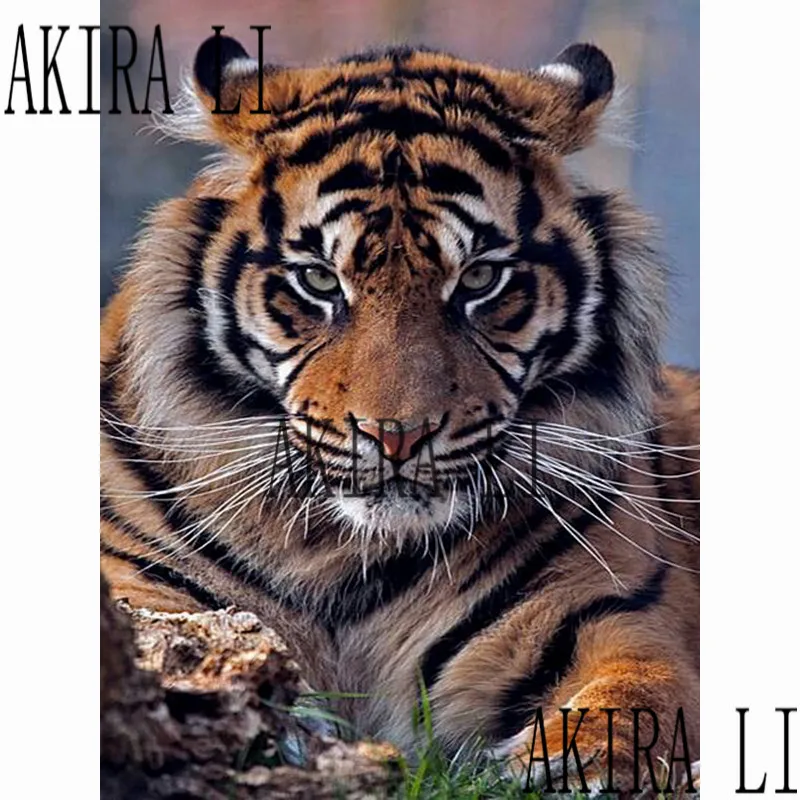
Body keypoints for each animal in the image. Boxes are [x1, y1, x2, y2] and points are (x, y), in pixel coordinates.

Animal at [100, 36, 699, 794]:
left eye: (480, 279)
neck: (341, 554)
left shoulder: (612, 611)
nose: (397, 435)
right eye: (318, 280)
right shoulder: (135, 582)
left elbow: (641, 690)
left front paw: (581, 762)